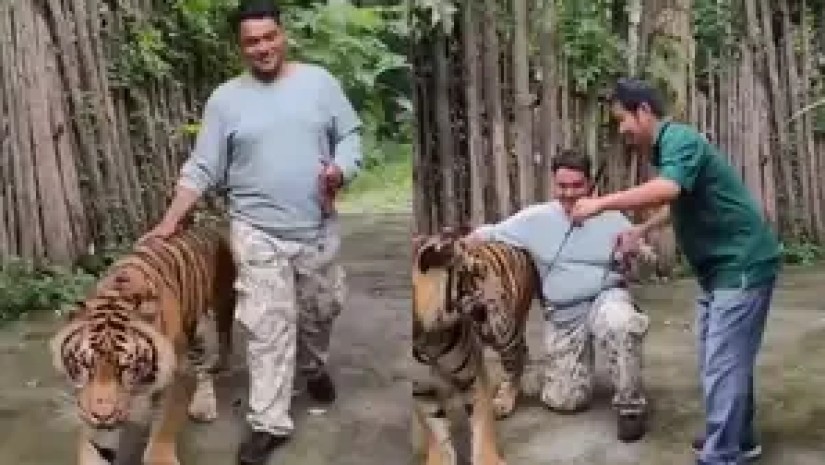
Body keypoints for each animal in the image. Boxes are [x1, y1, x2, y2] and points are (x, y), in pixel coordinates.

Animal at [49, 221, 236, 465]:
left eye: (125, 367)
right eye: (85, 365)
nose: (103, 416)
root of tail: (208, 227)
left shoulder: (177, 376)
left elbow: (165, 424)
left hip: (208, 323)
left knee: (207, 365)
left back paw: (204, 405)